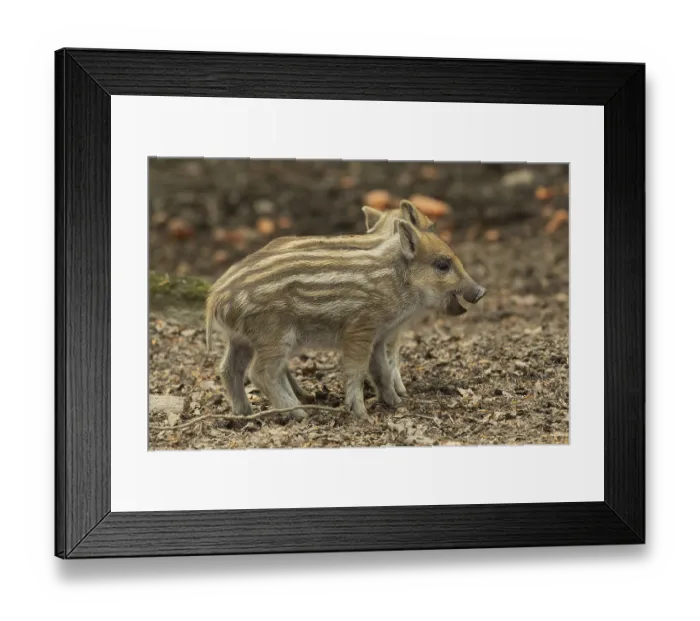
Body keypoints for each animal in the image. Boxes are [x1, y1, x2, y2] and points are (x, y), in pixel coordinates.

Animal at [205, 217, 487, 421]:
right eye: (442, 265)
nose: (481, 291)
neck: (396, 281)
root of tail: (214, 298)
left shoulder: (378, 336)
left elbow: (381, 371)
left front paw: (397, 403)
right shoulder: (360, 329)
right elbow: (357, 370)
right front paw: (362, 415)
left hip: (241, 339)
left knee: (229, 369)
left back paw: (244, 414)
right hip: (273, 335)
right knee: (261, 372)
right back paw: (299, 414)